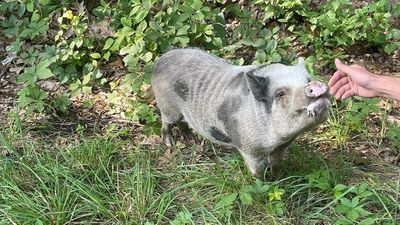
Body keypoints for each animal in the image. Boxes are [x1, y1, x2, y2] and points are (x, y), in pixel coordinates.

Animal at [152, 48, 330, 180]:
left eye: (308, 79)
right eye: (280, 94)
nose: (315, 84)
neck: (277, 140)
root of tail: (159, 61)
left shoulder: (282, 147)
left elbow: (277, 163)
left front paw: (279, 177)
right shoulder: (249, 148)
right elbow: (258, 172)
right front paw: (265, 185)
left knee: (183, 122)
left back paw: (191, 140)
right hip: (167, 106)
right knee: (166, 122)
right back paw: (170, 144)